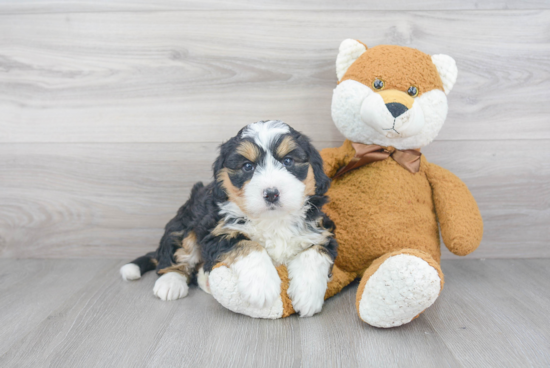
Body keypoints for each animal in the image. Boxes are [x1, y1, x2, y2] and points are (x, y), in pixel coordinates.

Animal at [120, 120, 336, 316]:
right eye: (248, 166)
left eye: (288, 161)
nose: (271, 194)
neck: (273, 220)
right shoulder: (216, 233)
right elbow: (248, 245)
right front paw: (261, 286)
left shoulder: (322, 230)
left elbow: (315, 252)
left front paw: (308, 296)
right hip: (186, 222)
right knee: (176, 253)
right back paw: (171, 282)